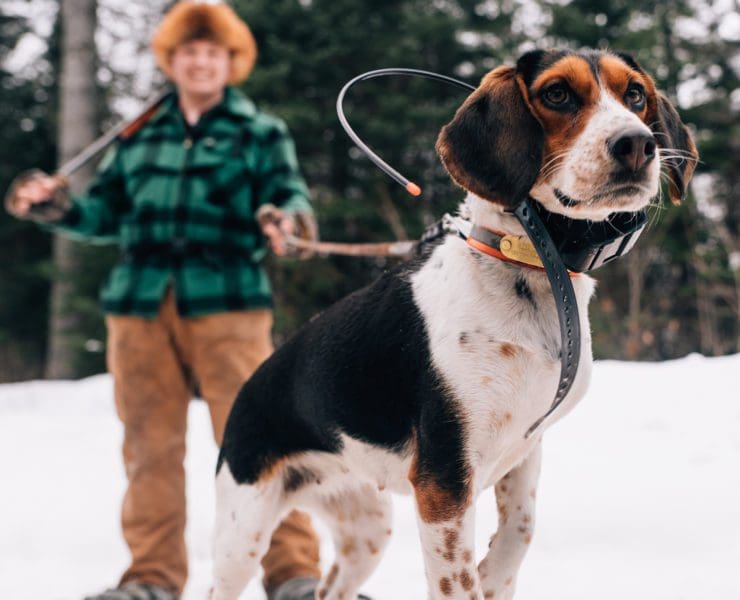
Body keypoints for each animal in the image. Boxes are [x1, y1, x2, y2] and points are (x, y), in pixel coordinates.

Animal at [211, 49, 696, 596]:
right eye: (556, 94)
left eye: (634, 94)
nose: (637, 143)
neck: (528, 259)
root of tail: (249, 386)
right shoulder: (443, 483)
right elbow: (459, 580)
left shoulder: (525, 447)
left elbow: (520, 529)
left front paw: (493, 576)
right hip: (243, 532)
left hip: (367, 526)